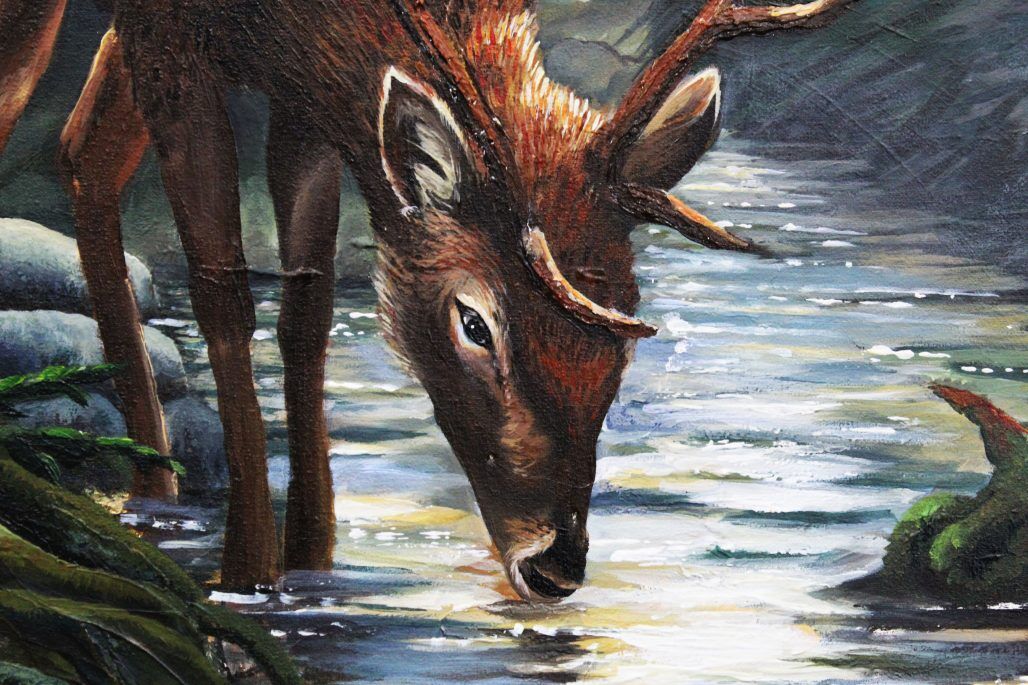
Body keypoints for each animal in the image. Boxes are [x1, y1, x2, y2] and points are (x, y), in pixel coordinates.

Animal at [0, 0, 859, 598]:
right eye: (475, 321)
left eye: (621, 335)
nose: (555, 565)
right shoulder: (175, 40)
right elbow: (222, 288)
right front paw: (245, 573)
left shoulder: (308, 92)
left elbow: (306, 307)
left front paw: (313, 561)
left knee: (83, 154)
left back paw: (154, 488)